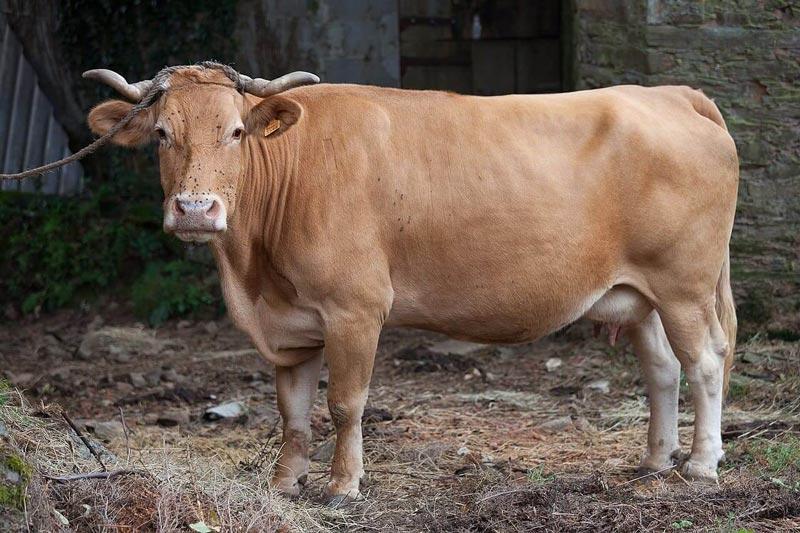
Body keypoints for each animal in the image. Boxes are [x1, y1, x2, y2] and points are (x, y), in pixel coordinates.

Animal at [85, 63, 738, 503]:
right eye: (162, 134)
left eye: (236, 132)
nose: (196, 210)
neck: (253, 274)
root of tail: (670, 93)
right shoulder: (291, 324)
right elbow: (292, 411)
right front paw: (285, 483)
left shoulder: (354, 308)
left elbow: (345, 403)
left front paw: (343, 485)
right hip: (641, 295)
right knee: (663, 368)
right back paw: (655, 459)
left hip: (684, 285)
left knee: (706, 361)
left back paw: (702, 463)